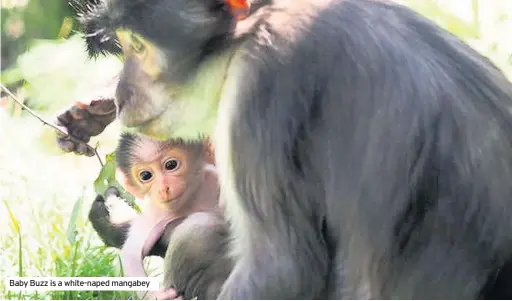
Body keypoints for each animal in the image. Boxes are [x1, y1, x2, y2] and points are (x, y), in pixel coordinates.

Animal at [90, 133, 230, 298]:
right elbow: (131, 254)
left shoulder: (213, 178)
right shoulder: (155, 210)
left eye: (171, 165)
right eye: (145, 175)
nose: (164, 189)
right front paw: (155, 295)